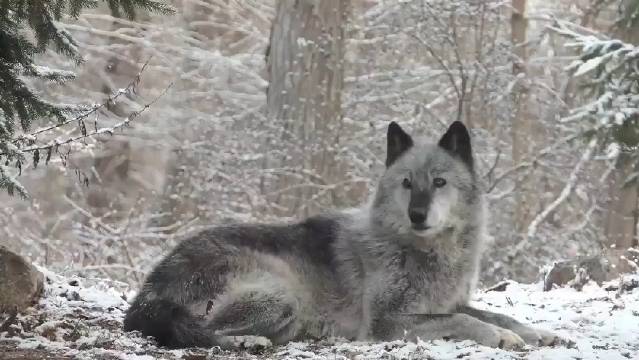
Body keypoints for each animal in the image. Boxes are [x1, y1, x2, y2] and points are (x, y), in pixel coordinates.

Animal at [122, 121, 556, 348]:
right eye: (406, 183)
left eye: (439, 182)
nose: (417, 214)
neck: (418, 251)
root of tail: (148, 292)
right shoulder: (386, 323)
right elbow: (467, 322)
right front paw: (502, 337)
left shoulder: (447, 303)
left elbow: (496, 313)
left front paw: (540, 332)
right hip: (282, 295)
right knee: (202, 332)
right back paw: (247, 343)